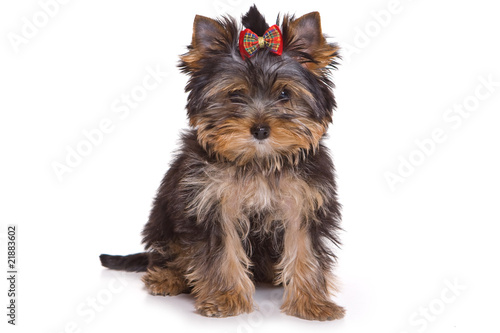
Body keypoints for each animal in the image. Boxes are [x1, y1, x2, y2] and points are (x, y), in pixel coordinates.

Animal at [101, 5, 344, 320]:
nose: (260, 130)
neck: (258, 161)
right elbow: (221, 252)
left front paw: (312, 303)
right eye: (235, 94)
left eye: (284, 94)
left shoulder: (304, 202)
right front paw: (225, 298)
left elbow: (305, 250)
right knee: (168, 252)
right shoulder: (210, 202)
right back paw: (168, 277)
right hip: (163, 219)